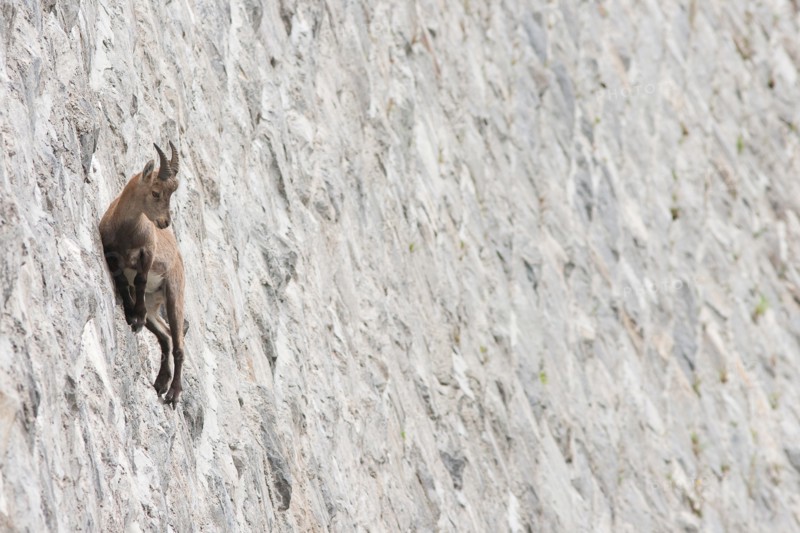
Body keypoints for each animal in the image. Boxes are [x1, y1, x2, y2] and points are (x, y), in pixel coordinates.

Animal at [100, 142, 187, 407]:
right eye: (156, 192)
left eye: (172, 192)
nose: (164, 222)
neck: (127, 230)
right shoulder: (110, 253)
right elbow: (122, 280)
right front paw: (132, 315)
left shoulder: (147, 253)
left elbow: (139, 279)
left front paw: (135, 317)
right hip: (153, 305)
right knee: (166, 336)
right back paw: (160, 382)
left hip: (174, 294)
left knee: (179, 345)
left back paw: (173, 394)